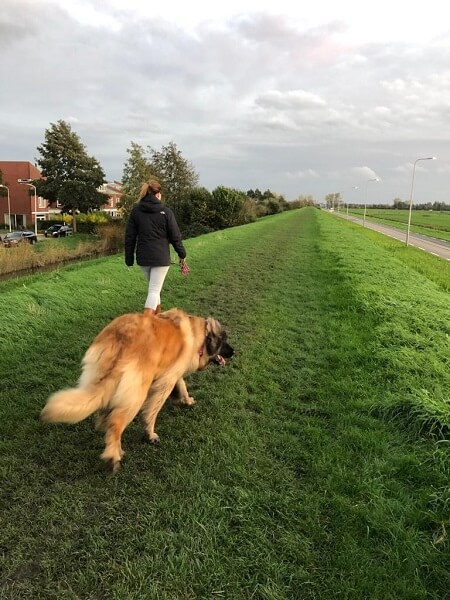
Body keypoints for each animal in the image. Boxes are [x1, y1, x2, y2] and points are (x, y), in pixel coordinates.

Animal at [40, 310, 234, 474]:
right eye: (224, 341)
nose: (234, 351)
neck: (199, 336)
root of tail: (123, 338)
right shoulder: (166, 381)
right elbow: (152, 412)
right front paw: (150, 434)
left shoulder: (172, 373)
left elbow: (183, 385)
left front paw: (187, 400)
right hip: (138, 391)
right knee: (117, 421)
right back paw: (113, 456)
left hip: (98, 375)